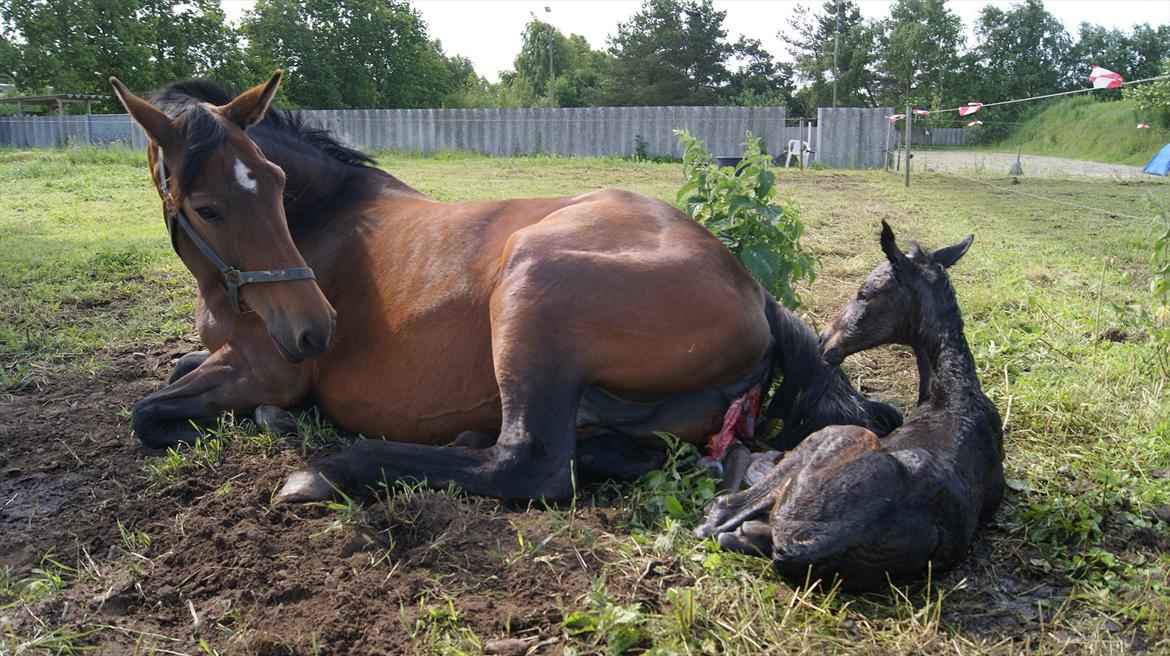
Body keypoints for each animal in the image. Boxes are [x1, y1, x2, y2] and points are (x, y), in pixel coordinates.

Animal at [109, 71, 898, 500]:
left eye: (273, 185)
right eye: (210, 206)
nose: (313, 329)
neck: (324, 218)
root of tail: (751, 287)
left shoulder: (266, 368)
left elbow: (149, 412)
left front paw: (275, 423)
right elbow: (172, 373)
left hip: (533, 290)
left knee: (530, 463)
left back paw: (333, 469)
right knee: (613, 454)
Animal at [692, 222, 1006, 591]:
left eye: (863, 292)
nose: (824, 340)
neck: (955, 390)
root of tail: (805, 545)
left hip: (840, 434)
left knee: (722, 511)